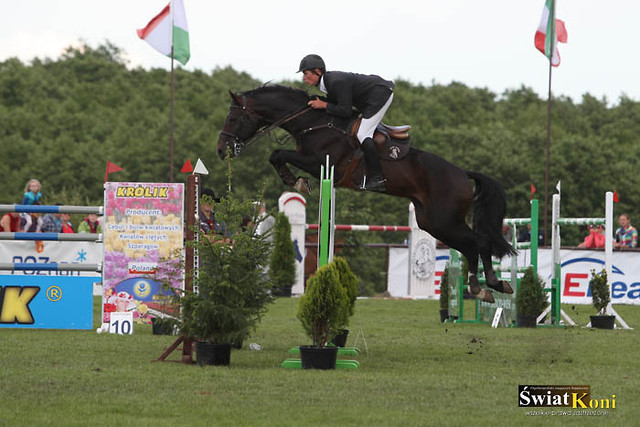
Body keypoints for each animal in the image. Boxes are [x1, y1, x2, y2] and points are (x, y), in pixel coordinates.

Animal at [218, 84, 516, 304]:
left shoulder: (321, 163)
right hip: (433, 223)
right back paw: (484, 288)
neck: (314, 122)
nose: (222, 150)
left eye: (234, 118)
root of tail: (462, 173)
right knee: (471, 246)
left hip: (445, 220)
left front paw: (297, 181)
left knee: (479, 243)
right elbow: (276, 155)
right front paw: (297, 181)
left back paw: (490, 285)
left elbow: (278, 154)